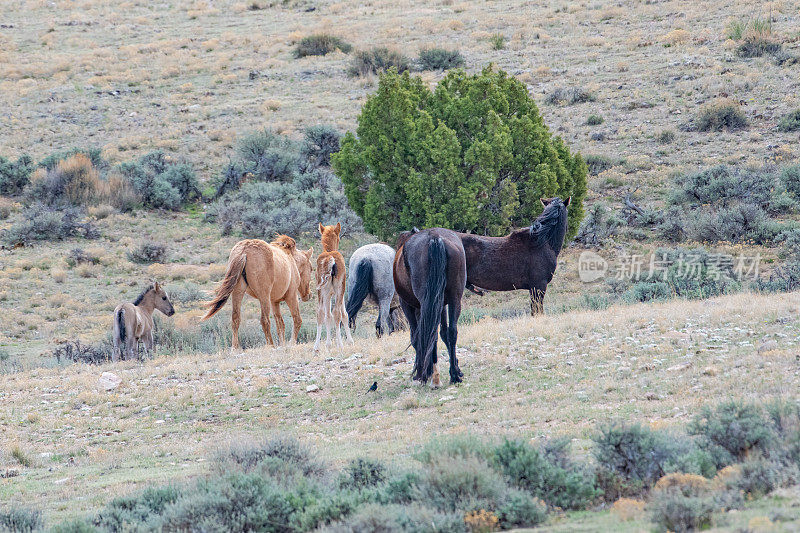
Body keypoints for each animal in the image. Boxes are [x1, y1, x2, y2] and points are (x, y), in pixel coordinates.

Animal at [312, 223, 354, 352]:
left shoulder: (328, 293)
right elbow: (344, 314)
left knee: (320, 313)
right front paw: (350, 341)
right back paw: (340, 345)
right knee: (336, 313)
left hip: (321, 291)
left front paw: (328, 344)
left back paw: (316, 347)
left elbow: (327, 316)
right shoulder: (341, 290)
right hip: (338, 288)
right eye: (338, 237)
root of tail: (330, 259)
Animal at [392, 227, 466, 384]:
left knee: (428, 333)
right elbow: (444, 333)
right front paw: (456, 369)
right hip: (454, 298)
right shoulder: (441, 304)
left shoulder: (408, 306)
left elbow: (416, 337)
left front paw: (423, 372)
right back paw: (454, 375)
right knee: (451, 332)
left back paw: (431, 375)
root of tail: (434, 238)